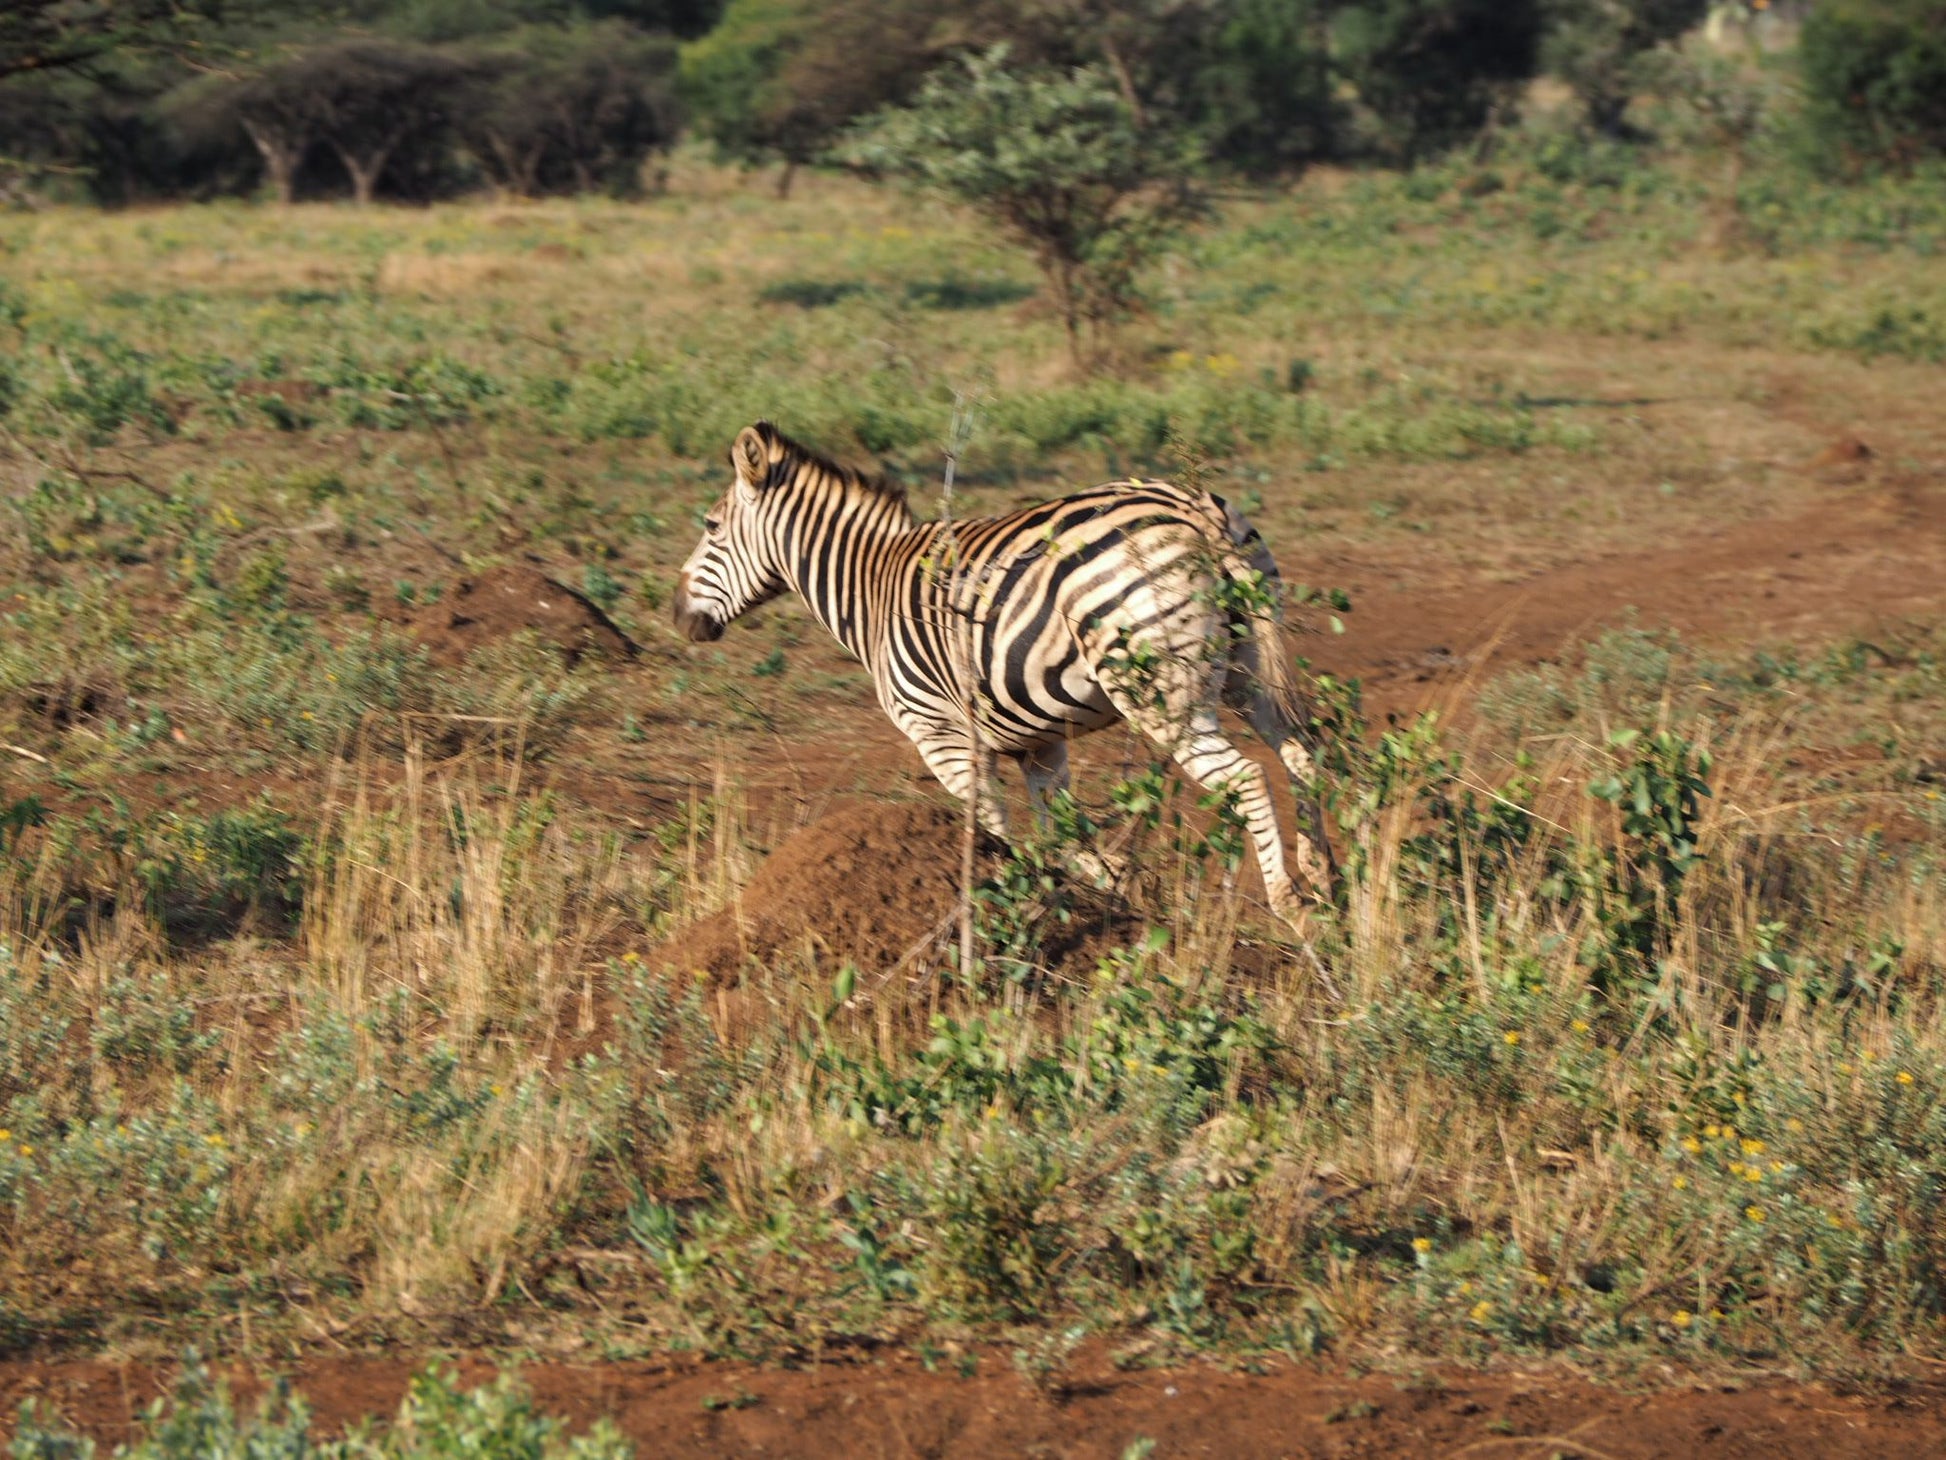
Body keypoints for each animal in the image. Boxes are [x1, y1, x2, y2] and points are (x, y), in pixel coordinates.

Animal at [673, 420, 1338, 914]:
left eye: (710, 526)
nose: (677, 614)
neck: (872, 588)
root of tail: (1189, 508)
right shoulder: (1041, 742)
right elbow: (1062, 832)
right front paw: (1116, 886)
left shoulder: (941, 736)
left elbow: (994, 831)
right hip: (1247, 671)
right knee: (1300, 751)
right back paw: (1323, 873)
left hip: (1160, 694)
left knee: (1247, 776)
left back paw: (1288, 901)